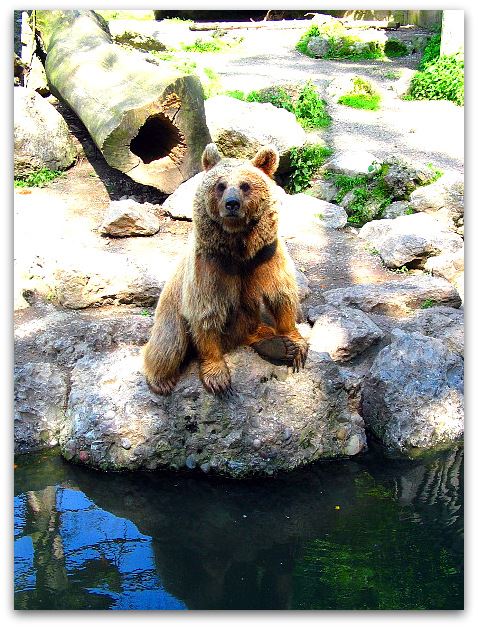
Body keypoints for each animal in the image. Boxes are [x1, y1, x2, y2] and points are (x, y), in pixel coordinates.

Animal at [143, 142, 308, 395]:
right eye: (220, 185)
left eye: (245, 185)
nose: (232, 204)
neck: (240, 247)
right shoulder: (211, 265)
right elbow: (206, 313)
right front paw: (218, 377)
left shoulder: (266, 256)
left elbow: (281, 296)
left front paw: (295, 345)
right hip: (171, 307)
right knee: (169, 342)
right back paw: (160, 379)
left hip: (249, 321)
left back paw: (276, 345)